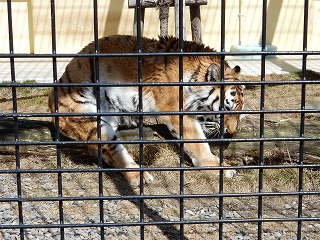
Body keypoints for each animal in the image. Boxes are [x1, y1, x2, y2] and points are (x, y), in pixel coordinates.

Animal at [47, 34, 244, 187]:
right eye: (226, 108)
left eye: (240, 111)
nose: (231, 132)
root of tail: (51, 102)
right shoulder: (177, 111)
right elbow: (198, 143)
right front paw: (217, 166)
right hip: (87, 116)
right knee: (112, 150)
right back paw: (140, 176)